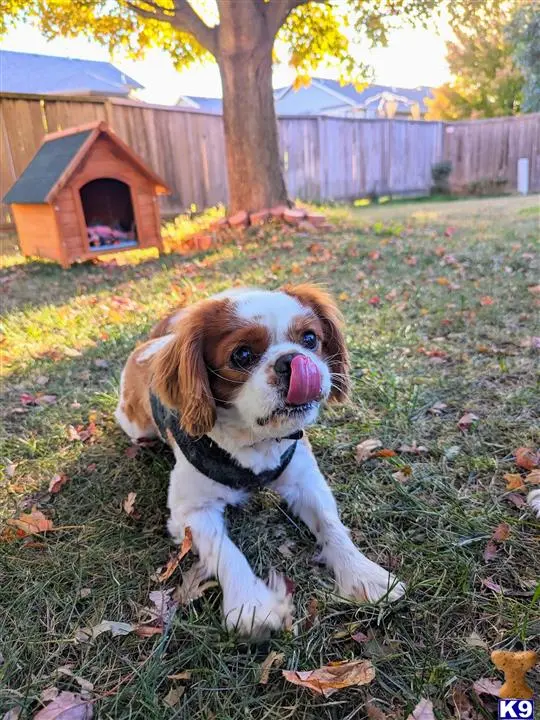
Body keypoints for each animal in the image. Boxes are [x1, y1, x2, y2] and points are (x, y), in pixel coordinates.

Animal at [117, 286, 404, 636]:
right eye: (241, 356)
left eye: (310, 339)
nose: (292, 360)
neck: (256, 441)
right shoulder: (190, 511)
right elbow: (226, 551)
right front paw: (250, 604)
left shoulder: (306, 482)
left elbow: (331, 526)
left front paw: (363, 573)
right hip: (134, 423)